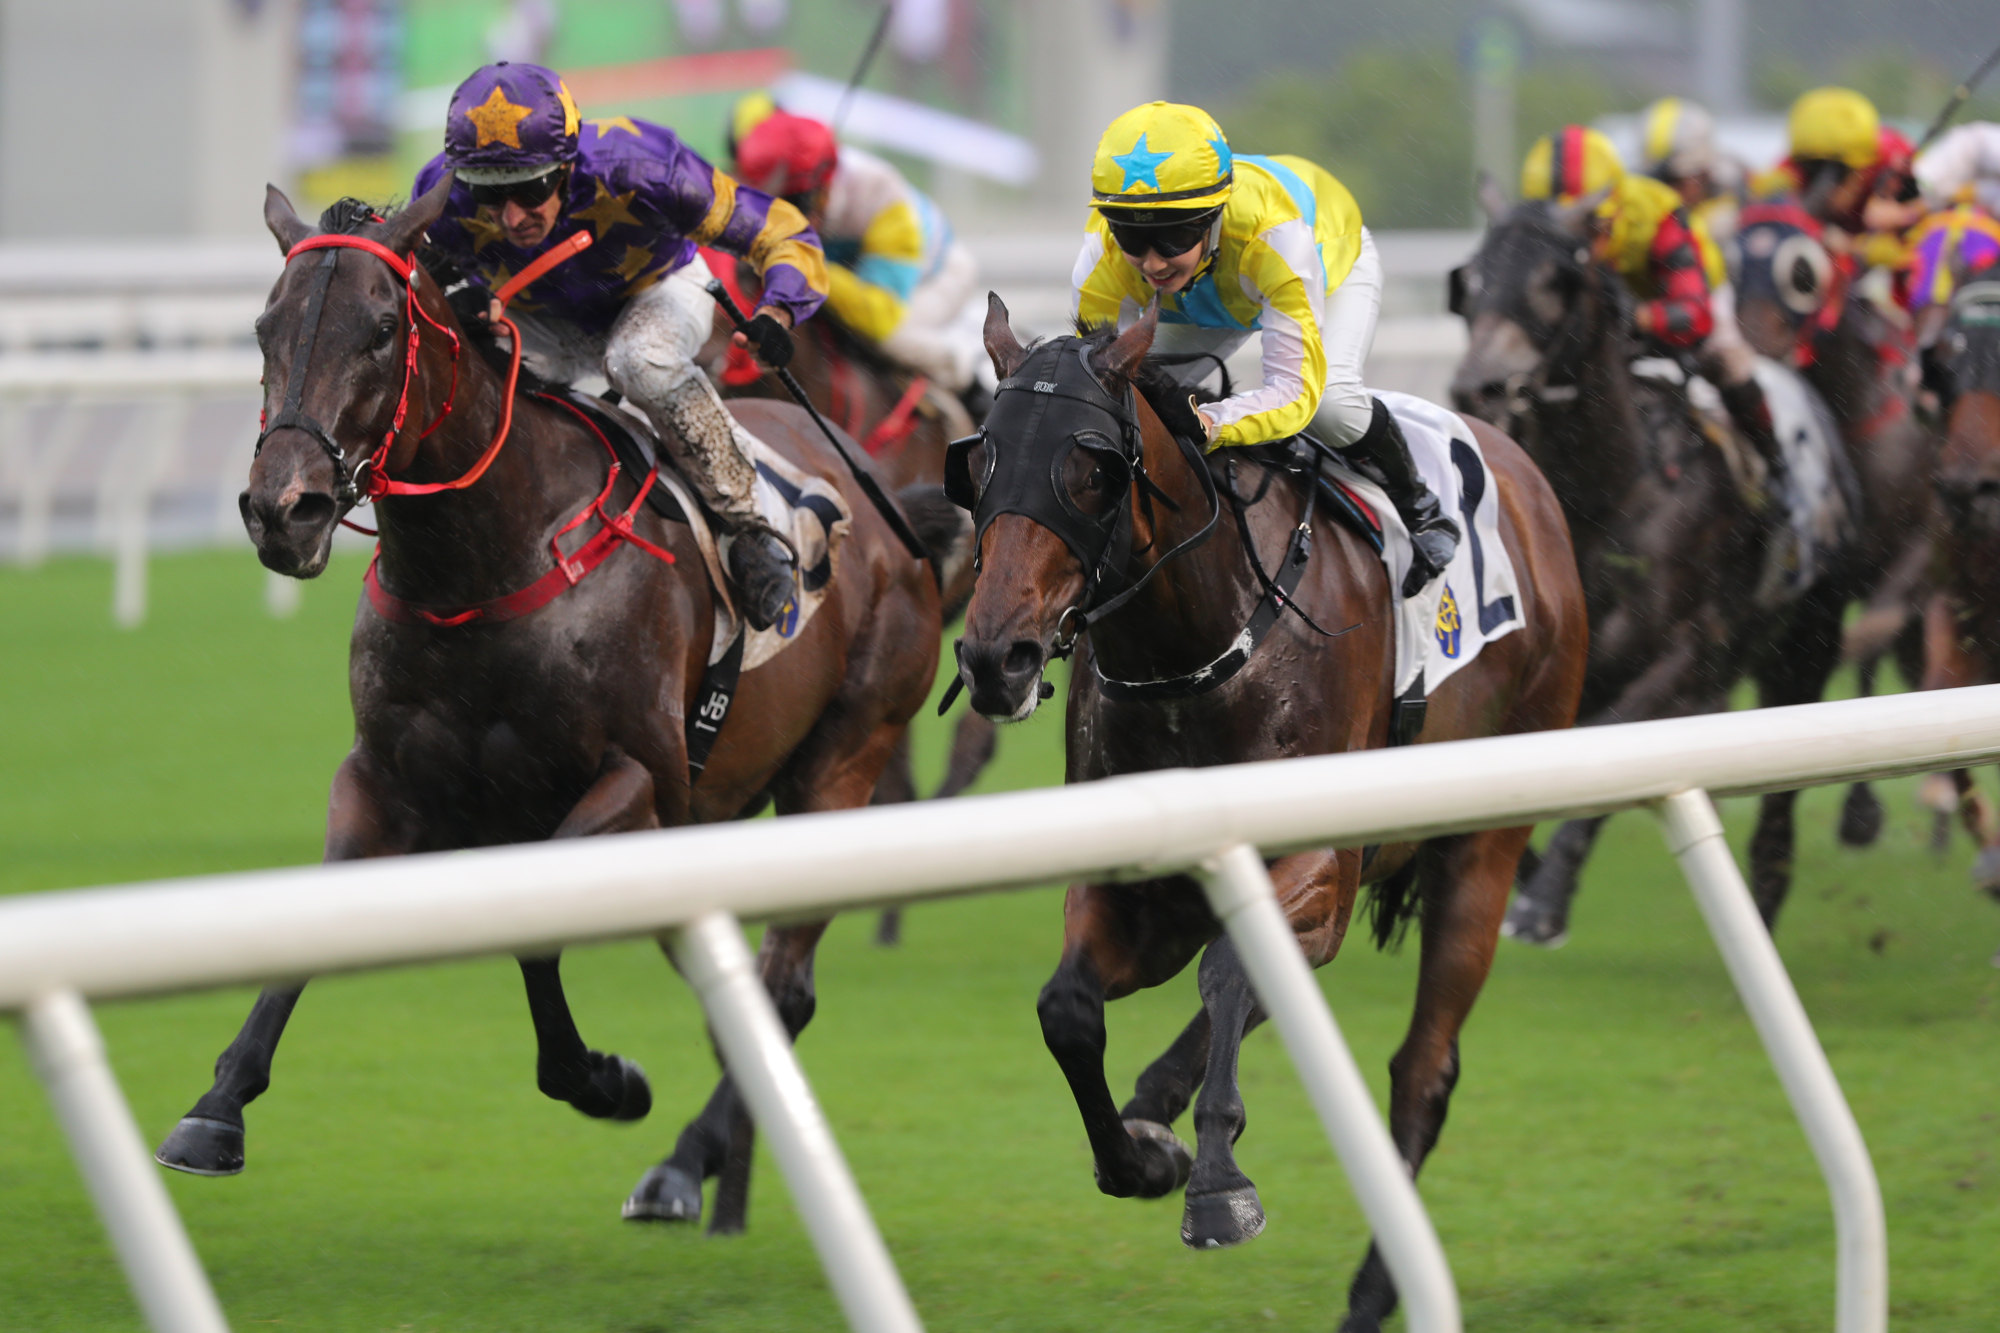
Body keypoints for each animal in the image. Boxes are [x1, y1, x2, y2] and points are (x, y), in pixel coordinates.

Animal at [150, 179, 944, 1232]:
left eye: (380, 329)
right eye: (264, 325)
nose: (286, 509)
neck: (489, 559)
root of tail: (890, 496)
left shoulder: (640, 787)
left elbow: (538, 937)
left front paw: (604, 1079)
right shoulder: (381, 778)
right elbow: (313, 920)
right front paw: (216, 1107)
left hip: (843, 759)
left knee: (784, 984)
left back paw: (683, 1166)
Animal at [948, 300, 1576, 1328]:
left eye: (1091, 468)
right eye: (981, 460)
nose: (997, 658)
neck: (1197, 642)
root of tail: (1527, 477)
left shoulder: (1317, 864)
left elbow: (1232, 974)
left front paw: (1214, 1184)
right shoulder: (1143, 885)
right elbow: (1070, 1008)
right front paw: (1142, 1153)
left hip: (1483, 844)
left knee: (1422, 1067)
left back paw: (1374, 1292)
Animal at [1736, 201, 1936, 836]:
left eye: (1803, 274)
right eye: (1733, 256)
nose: (1754, 346)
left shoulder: (1922, 550)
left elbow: (1872, 633)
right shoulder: (1836, 569)